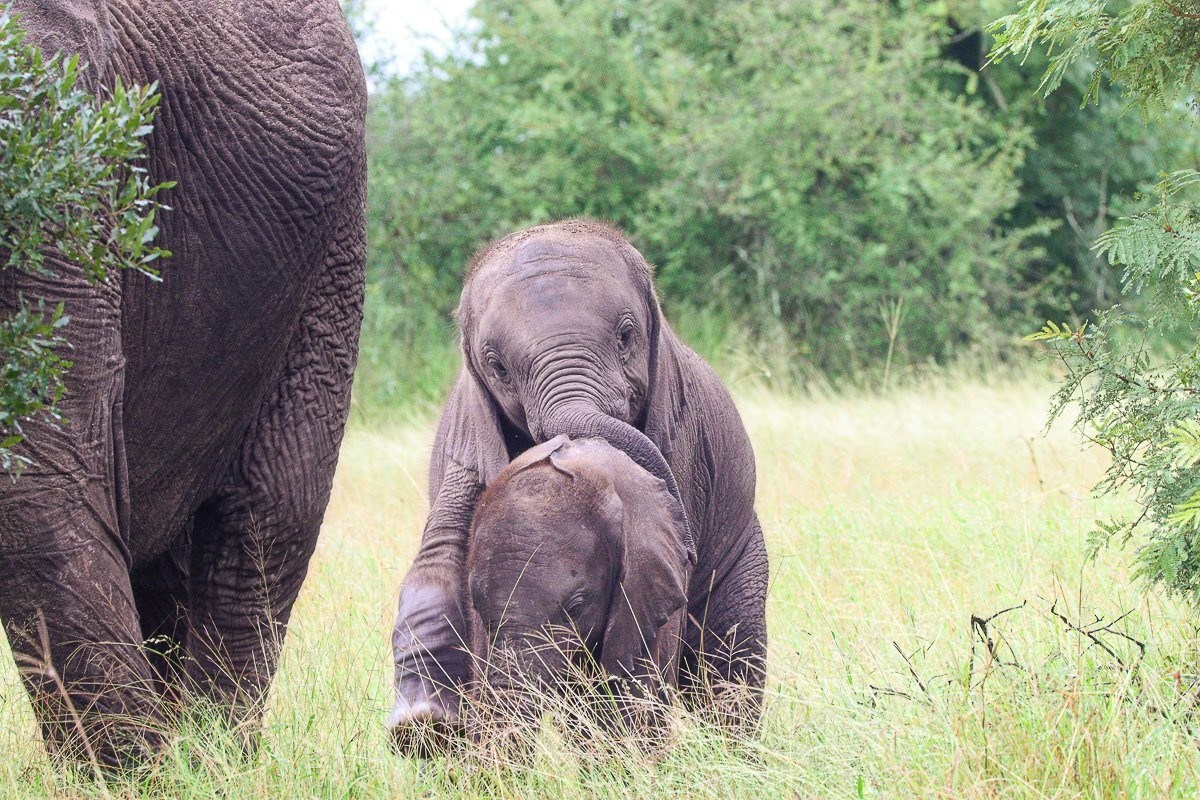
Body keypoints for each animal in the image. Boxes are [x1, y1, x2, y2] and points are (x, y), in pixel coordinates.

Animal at [0, 0, 366, 767]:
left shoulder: (54, 132)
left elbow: (36, 471)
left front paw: (142, 777)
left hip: (331, 248)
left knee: (266, 512)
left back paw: (211, 760)